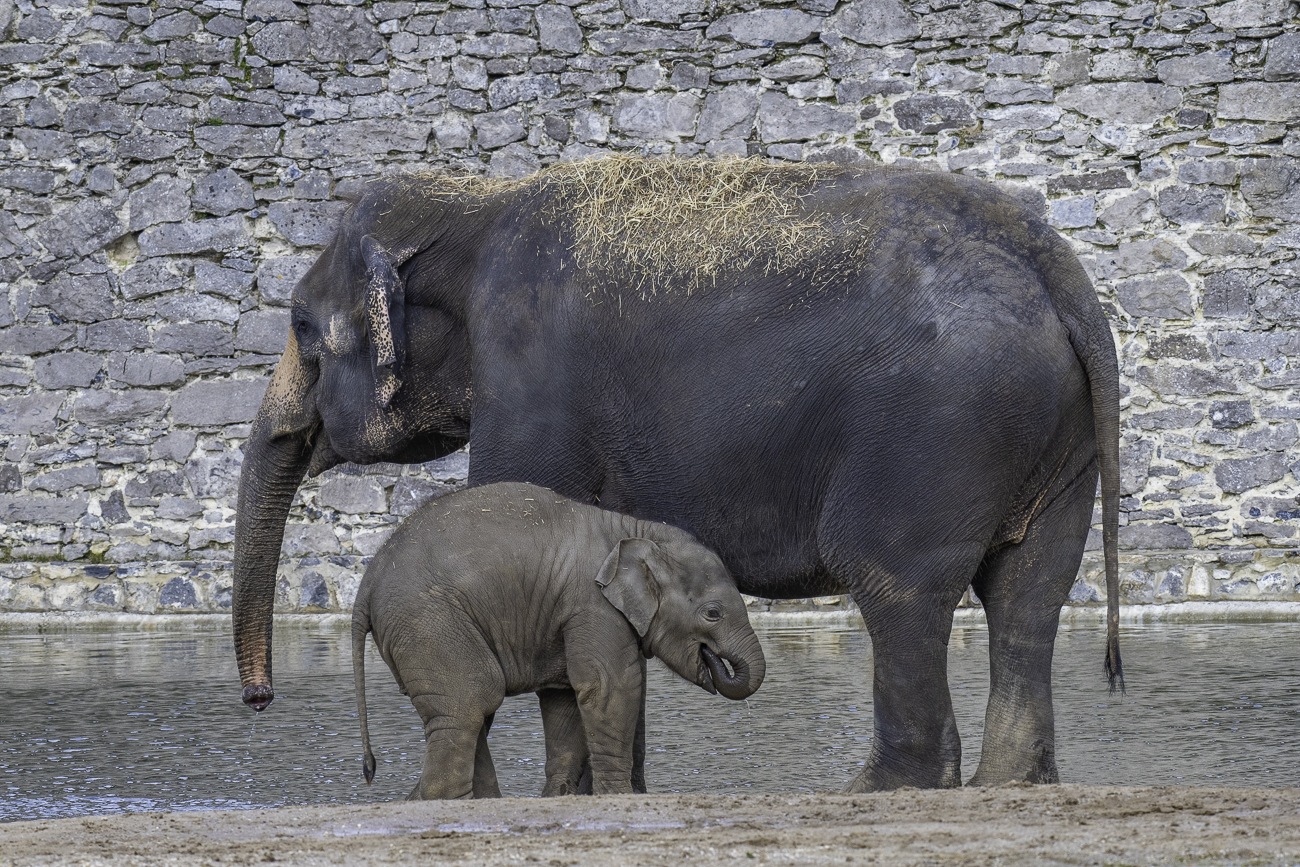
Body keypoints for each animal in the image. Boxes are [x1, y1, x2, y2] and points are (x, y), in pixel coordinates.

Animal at [351, 480, 764, 800]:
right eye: (712, 613)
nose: (715, 660)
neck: (637, 531)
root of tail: (367, 581)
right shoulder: (591, 605)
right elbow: (608, 686)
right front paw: (617, 796)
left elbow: (564, 698)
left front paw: (558, 797)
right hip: (427, 621)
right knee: (470, 700)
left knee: (472, 710)